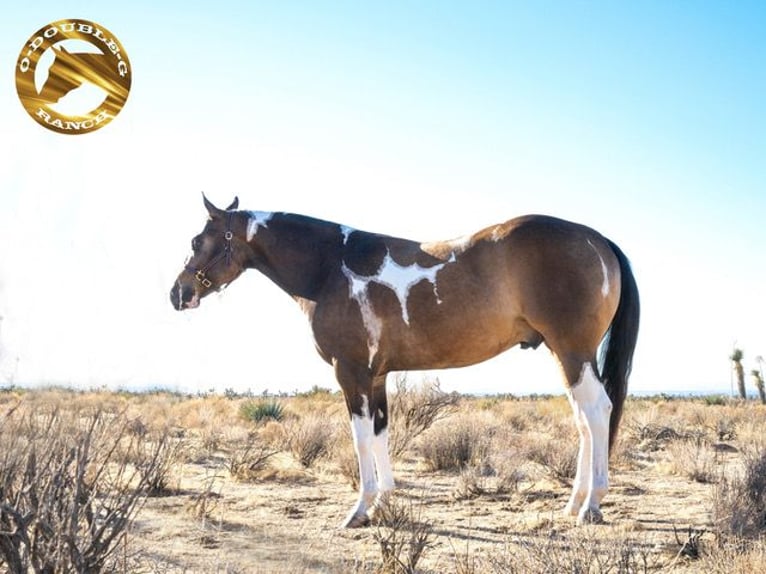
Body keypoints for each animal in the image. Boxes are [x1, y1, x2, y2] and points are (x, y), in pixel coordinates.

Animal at [170, 195, 639, 527]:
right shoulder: (376, 376)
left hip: (573, 351)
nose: (178, 293)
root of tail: (598, 240)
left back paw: (591, 505)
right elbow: (381, 434)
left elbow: (360, 439)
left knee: (597, 412)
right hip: (565, 356)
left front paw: (360, 510)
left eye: (197, 241)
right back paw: (574, 503)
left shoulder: (351, 372)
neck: (329, 267)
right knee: (584, 420)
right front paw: (383, 502)